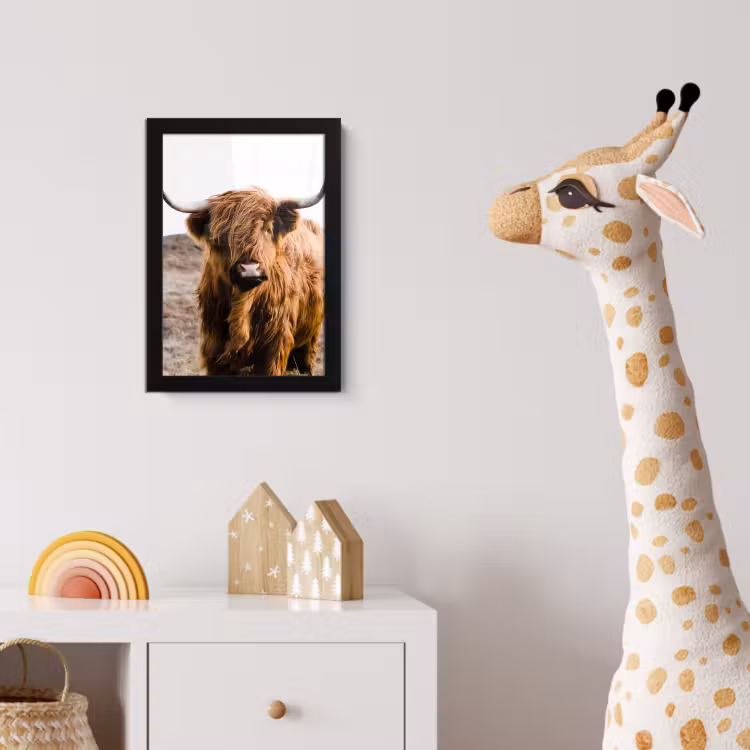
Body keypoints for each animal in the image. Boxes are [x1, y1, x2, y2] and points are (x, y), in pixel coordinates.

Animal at [163, 184, 325, 376]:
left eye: (267, 228)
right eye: (219, 236)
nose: (249, 270)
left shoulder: (275, 348)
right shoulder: (213, 349)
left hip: (310, 337)